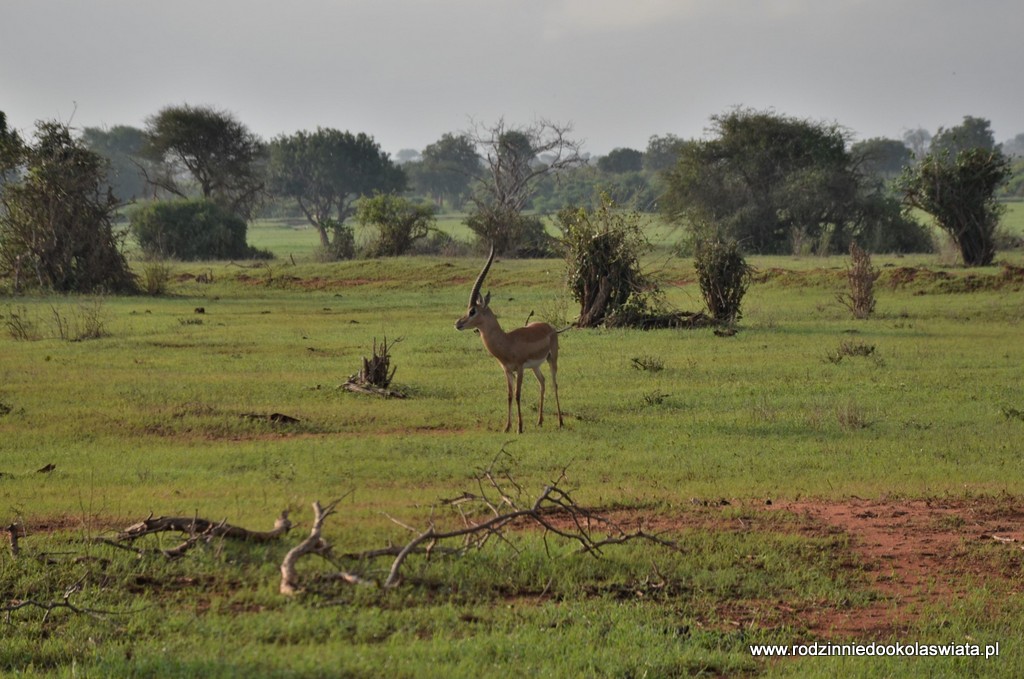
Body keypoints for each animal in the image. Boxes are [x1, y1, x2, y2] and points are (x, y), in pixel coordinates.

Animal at [458, 246, 565, 432]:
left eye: (472, 311)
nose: (458, 324)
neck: (507, 341)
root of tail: (550, 327)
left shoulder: (520, 368)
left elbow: (517, 394)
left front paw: (519, 428)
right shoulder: (507, 371)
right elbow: (508, 395)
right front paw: (507, 427)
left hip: (552, 359)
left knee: (554, 383)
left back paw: (560, 422)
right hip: (536, 366)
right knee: (542, 382)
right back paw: (539, 421)